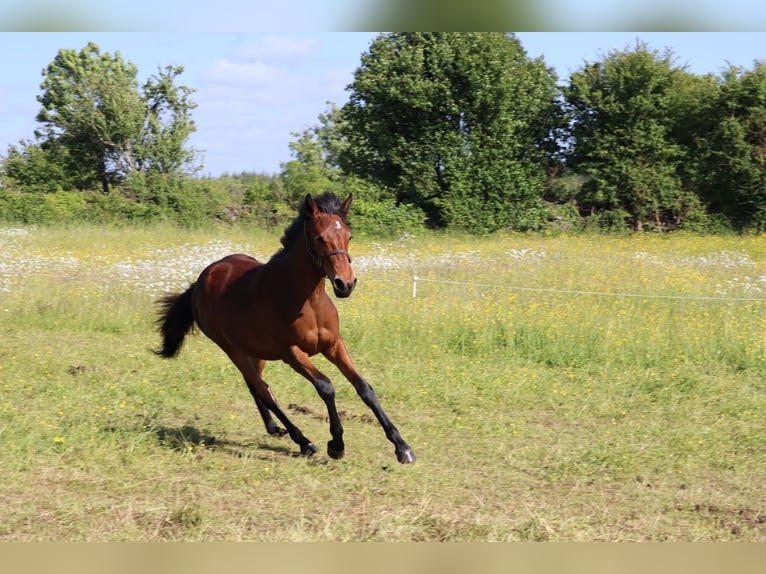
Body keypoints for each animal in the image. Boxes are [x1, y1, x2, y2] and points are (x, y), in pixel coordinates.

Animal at [154, 191, 416, 466]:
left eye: (349, 236)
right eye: (319, 238)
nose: (345, 284)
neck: (307, 301)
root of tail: (200, 281)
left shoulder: (333, 345)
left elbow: (365, 388)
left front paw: (402, 447)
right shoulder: (292, 353)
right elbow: (326, 387)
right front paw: (336, 444)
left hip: (254, 351)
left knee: (255, 385)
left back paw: (273, 427)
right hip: (231, 348)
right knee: (263, 389)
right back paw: (304, 442)